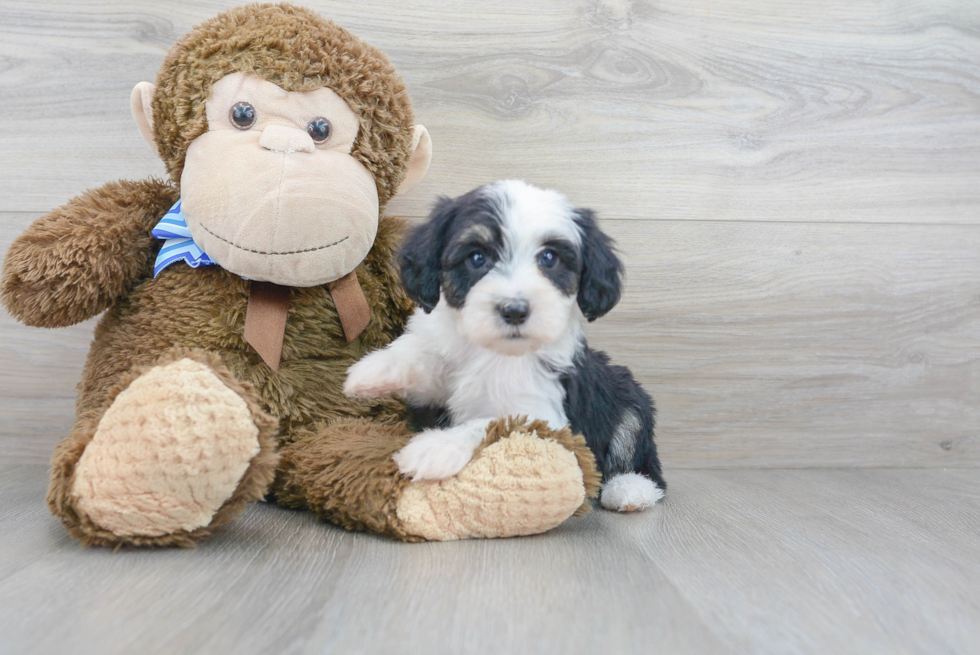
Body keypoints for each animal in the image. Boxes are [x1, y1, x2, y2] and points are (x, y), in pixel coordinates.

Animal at [344, 179, 668, 512]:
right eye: (477, 258)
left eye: (549, 258)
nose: (514, 310)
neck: (494, 349)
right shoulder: (436, 382)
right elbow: (423, 356)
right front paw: (376, 369)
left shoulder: (544, 413)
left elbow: (495, 422)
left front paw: (438, 446)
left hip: (629, 399)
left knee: (641, 455)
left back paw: (630, 489)